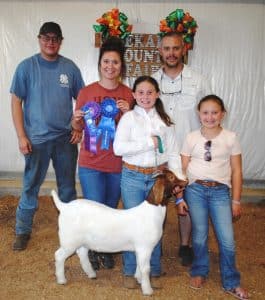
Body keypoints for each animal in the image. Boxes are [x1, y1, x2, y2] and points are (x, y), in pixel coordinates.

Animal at [51, 169, 187, 296]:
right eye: (171, 177)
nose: (185, 181)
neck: (152, 212)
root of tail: (64, 207)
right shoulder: (145, 247)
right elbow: (145, 269)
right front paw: (147, 290)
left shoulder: (139, 249)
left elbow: (139, 265)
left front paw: (138, 279)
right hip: (69, 240)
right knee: (59, 255)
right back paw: (61, 280)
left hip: (82, 240)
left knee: (82, 253)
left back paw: (91, 274)